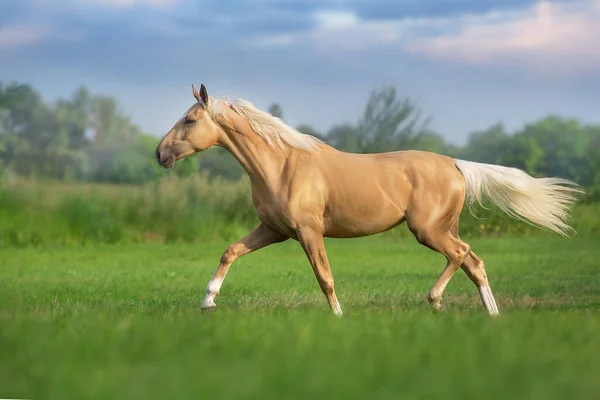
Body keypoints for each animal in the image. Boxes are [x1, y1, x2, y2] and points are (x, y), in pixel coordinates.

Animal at [155, 84, 580, 316]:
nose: (160, 154)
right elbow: (230, 251)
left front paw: (339, 317)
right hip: (444, 228)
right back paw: (490, 316)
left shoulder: (308, 232)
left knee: (462, 256)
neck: (282, 164)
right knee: (474, 263)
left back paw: (435, 300)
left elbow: (324, 277)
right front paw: (208, 303)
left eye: (190, 120)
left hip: (428, 230)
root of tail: (457, 165)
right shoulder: (274, 230)